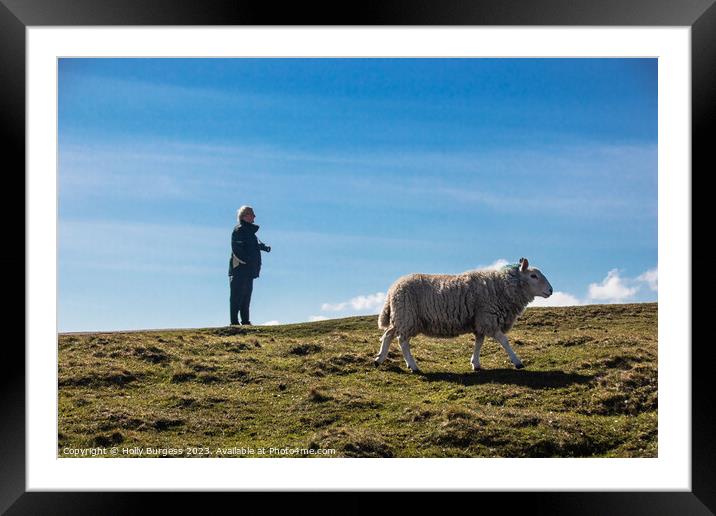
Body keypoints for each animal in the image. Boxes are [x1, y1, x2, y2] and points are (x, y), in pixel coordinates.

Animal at [374, 256, 552, 370]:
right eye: (533, 276)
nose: (551, 290)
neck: (501, 287)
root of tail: (393, 289)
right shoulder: (488, 318)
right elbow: (504, 341)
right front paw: (517, 362)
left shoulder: (479, 321)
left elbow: (479, 342)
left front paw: (476, 363)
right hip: (407, 316)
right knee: (402, 341)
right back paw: (413, 366)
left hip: (402, 317)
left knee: (388, 334)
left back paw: (379, 359)